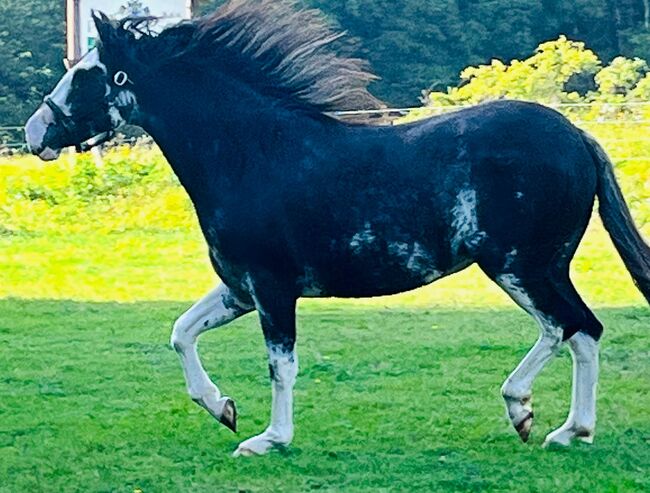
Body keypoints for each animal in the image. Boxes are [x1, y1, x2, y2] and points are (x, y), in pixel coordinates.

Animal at [22, 0, 644, 456]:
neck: (251, 154)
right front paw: (224, 409)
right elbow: (181, 333)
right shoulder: (240, 288)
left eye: (90, 75)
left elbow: (280, 366)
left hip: (519, 266)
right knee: (585, 332)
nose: (34, 133)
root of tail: (577, 137)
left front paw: (267, 440)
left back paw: (522, 410)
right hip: (542, 268)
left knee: (563, 327)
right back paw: (571, 431)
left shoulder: (272, 289)